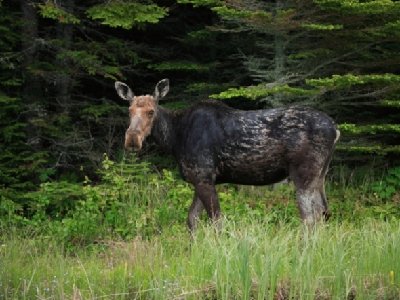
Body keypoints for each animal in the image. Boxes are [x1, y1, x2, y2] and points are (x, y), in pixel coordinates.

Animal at [114, 78, 340, 231]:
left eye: (151, 111)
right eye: (129, 110)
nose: (132, 139)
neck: (175, 139)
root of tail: (335, 129)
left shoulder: (204, 177)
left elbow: (216, 221)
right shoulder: (200, 179)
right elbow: (192, 219)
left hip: (303, 175)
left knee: (310, 218)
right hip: (320, 175)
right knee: (324, 212)